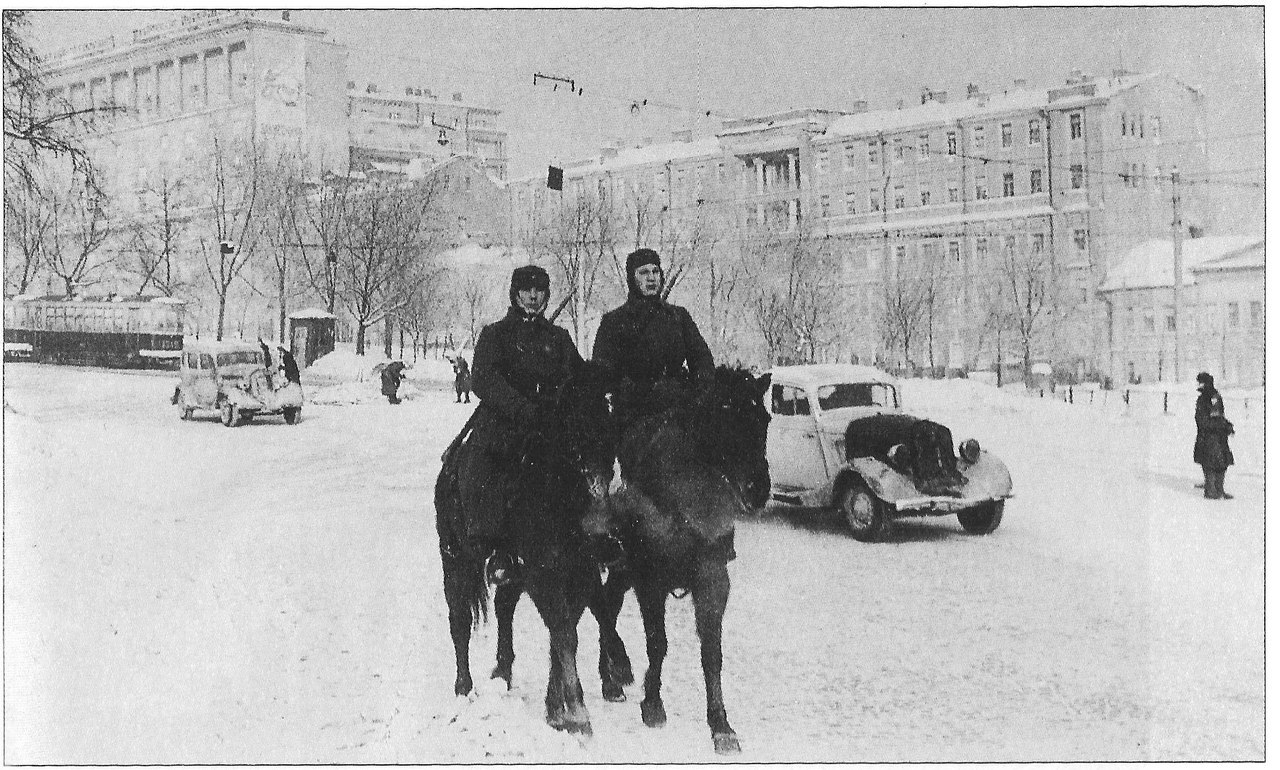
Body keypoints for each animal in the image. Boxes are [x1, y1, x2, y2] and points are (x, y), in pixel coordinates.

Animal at [437, 358, 616, 731]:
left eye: (610, 425)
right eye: (574, 430)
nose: (599, 525)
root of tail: (449, 465)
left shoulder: (579, 574)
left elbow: (563, 632)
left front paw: (556, 707)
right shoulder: (542, 573)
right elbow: (564, 632)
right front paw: (577, 712)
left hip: (510, 571)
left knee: (504, 607)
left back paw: (503, 671)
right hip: (456, 559)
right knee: (459, 618)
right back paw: (464, 687)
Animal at [581, 363, 768, 752]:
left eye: (765, 418)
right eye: (727, 419)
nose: (759, 489)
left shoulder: (713, 579)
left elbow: (712, 652)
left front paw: (720, 724)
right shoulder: (650, 580)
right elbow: (658, 643)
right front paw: (652, 704)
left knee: (609, 603)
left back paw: (611, 674)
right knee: (604, 607)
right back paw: (613, 674)